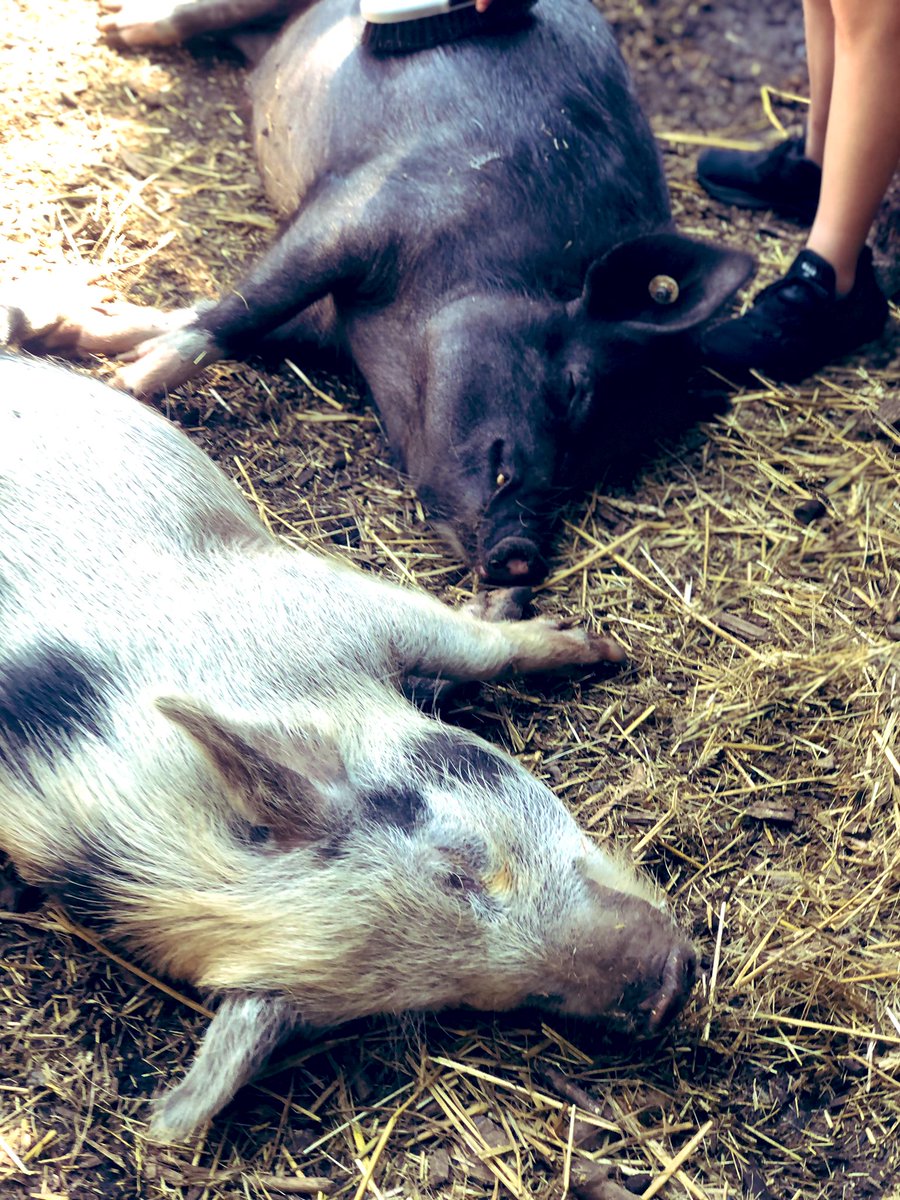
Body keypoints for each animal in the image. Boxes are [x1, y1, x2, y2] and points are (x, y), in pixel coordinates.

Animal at [0, 349, 696, 1143]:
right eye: (447, 994)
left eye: (464, 861)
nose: (672, 989)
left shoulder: (315, 599)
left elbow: (481, 648)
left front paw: (596, 646)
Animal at [21, 0, 753, 586]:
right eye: (575, 388)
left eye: (603, 463)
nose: (520, 555)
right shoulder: (362, 208)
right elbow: (247, 305)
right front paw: (122, 384)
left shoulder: (329, 321)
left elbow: (229, 319)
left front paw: (71, 339)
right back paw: (113, 28)